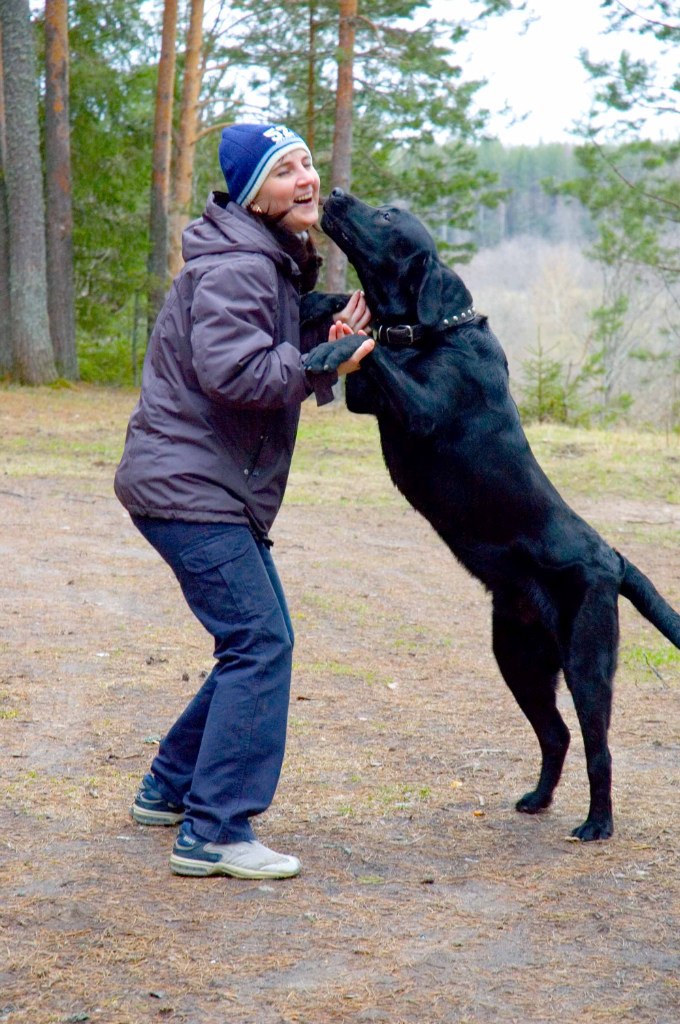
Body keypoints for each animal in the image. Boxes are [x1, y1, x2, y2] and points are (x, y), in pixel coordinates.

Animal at [304, 188, 680, 842]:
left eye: (387, 217)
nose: (338, 193)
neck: (429, 332)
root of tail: (613, 556)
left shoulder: (423, 410)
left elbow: (364, 348)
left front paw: (332, 341)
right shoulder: (369, 401)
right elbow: (367, 342)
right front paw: (327, 306)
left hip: (587, 660)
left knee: (598, 746)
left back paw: (597, 823)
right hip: (517, 656)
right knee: (556, 734)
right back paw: (538, 798)